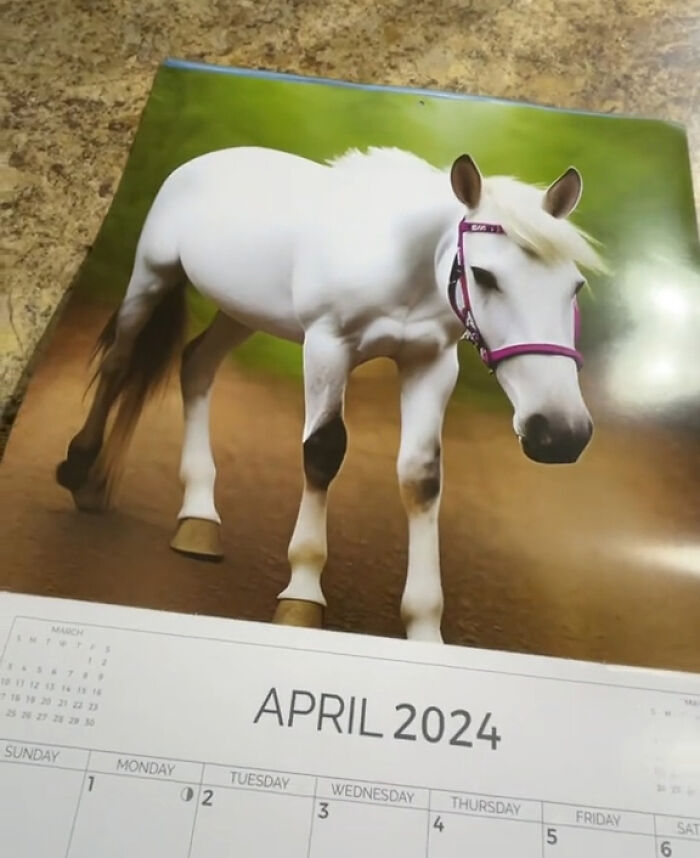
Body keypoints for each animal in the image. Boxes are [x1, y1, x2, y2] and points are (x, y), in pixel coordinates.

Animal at [55, 145, 606, 643]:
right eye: (484, 276)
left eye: (575, 287)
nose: (560, 432)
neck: (395, 259)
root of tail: (202, 161)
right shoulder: (326, 346)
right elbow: (322, 452)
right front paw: (302, 593)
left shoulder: (430, 364)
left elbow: (421, 478)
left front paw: (424, 627)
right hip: (152, 275)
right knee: (119, 360)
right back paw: (81, 470)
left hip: (240, 313)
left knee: (195, 367)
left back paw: (197, 517)